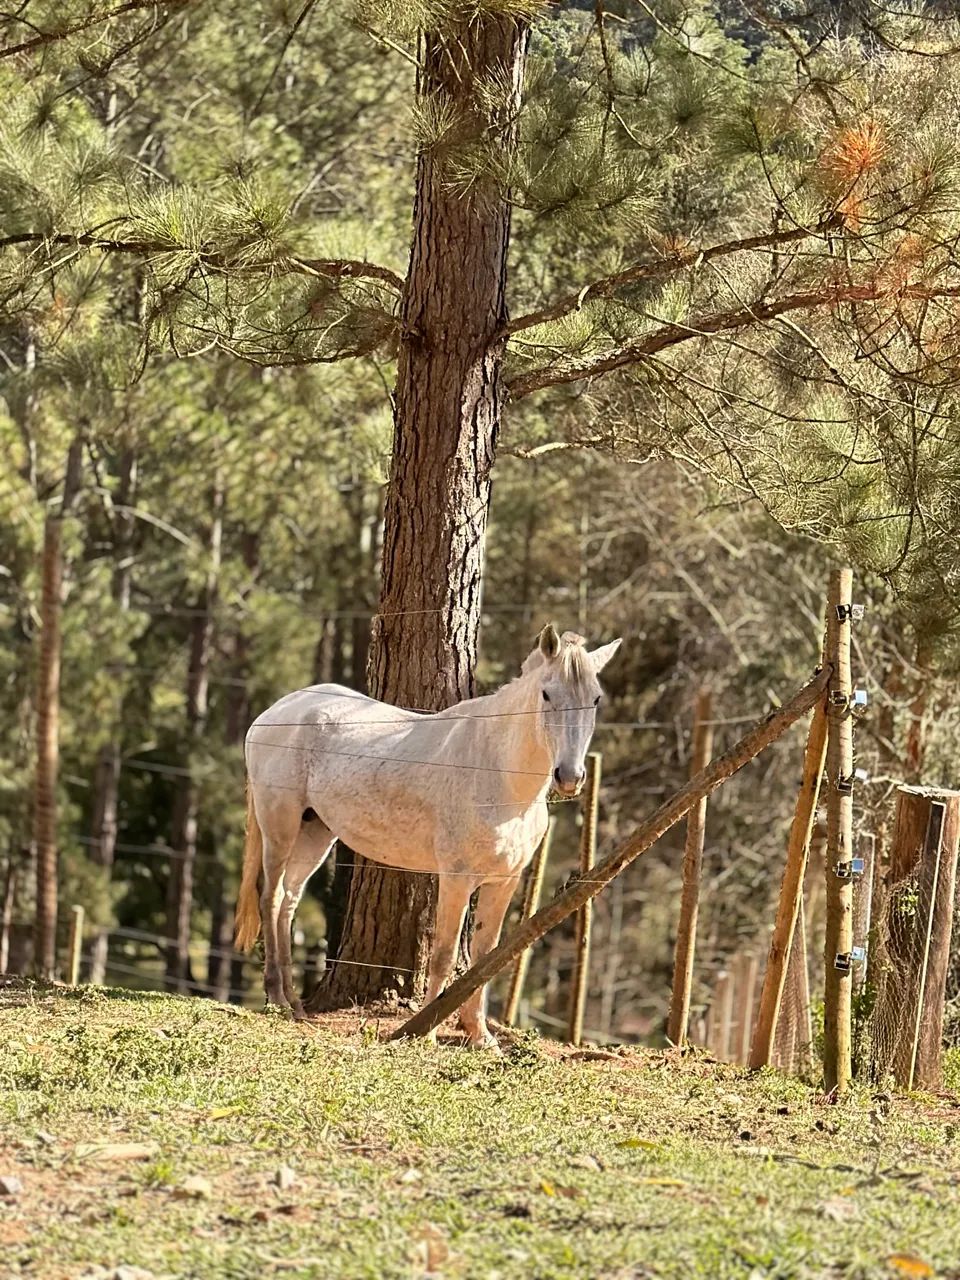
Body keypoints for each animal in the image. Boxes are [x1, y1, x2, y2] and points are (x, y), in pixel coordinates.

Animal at [233, 623, 621, 1047]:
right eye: (547, 693)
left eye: (595, 699)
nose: (569, 777)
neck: (497, 773)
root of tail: (276, 711)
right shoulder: (456, 878)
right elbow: (445, 955)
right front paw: (428, 1030)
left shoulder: (504, 881)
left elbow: (484, 956)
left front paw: (480, 1035)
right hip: (280, 827)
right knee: (270, 898)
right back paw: (276, 999)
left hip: (316, 831)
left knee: (289, 902)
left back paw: (295, 1005)